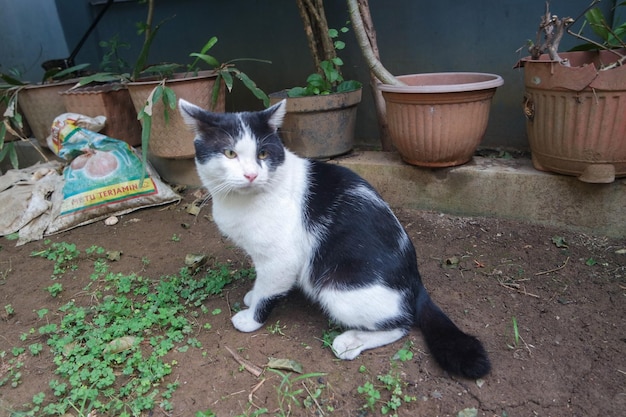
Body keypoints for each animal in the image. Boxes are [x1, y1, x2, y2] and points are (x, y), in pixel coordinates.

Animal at [178, 99, 490, 378]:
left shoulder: (281, 259)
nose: (252, 175)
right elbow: (261, 282)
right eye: (229, 153)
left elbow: (270, 290)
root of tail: (415, 279)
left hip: (337, 288)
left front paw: (252, 317)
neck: (239, 201)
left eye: (263, 154)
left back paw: (351, 341)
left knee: (403, 323)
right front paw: (253, 294)